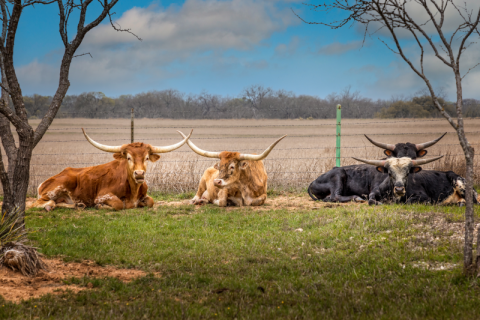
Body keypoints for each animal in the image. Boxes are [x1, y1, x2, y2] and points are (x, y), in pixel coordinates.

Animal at [28, 129, 192, 211]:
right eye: (128, 158)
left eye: (146, 158)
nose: (139, 174)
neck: (133, 190)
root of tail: (44, 182)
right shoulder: (102, 195)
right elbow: (118, 204)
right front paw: (101, 206)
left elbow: (151, 201)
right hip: (54, 189)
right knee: (40, 203)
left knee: (60, 202)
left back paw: (77, 205)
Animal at [308, 133, 446, 205]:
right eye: (397, 155)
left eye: (414, 156)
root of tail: (313, 182)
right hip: (338, 174)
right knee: (334, 196)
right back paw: (357, 198)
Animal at [352, 157, 480, 205]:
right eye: (389, 173)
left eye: (408, 173)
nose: (399, 189)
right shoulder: (374, 192)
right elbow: (371, 200)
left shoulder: (423, 196)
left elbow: (408, 202)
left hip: (460, 183)